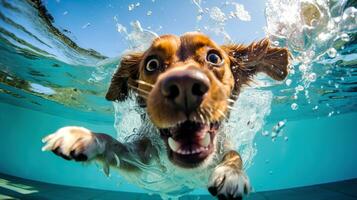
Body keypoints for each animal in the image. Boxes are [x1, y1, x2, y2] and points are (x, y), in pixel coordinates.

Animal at [41, 32, 288, 199]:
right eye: (152, 64)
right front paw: (86, 138)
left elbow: (235, 155)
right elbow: (114, 145)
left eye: (214, 58)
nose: (185, 85)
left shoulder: (225, 145)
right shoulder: (142, 157)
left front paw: (232, 174)